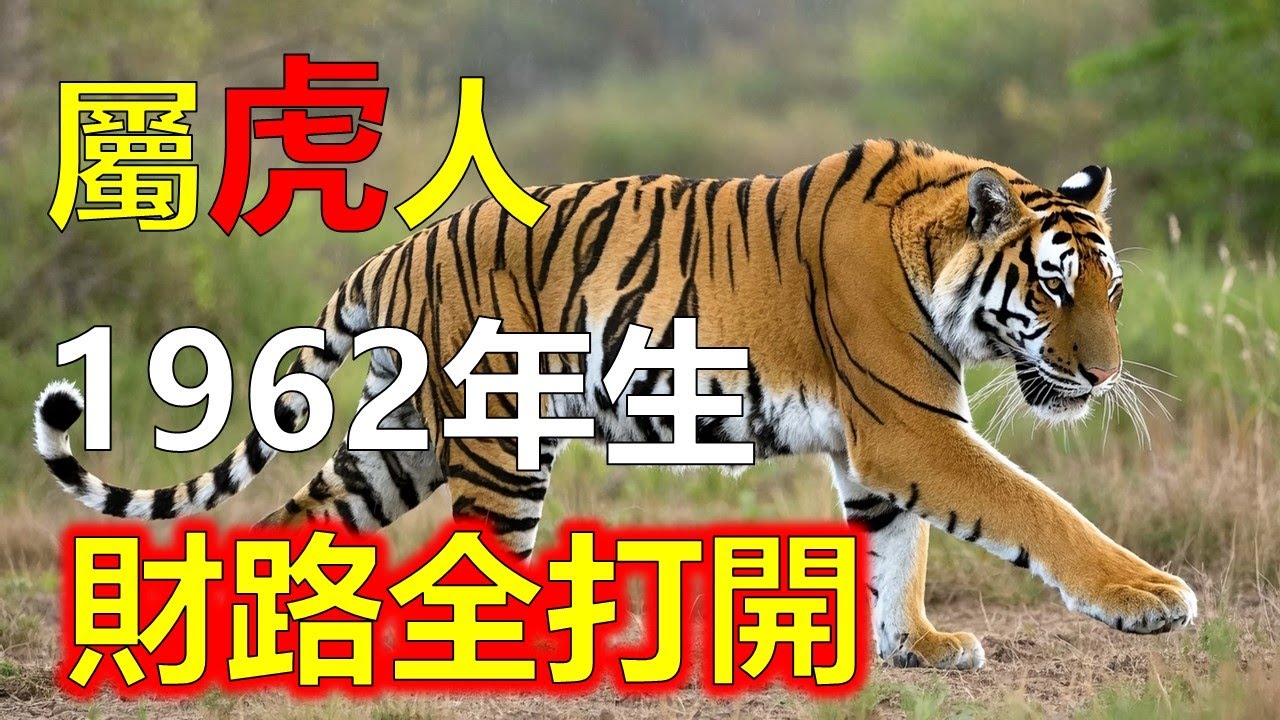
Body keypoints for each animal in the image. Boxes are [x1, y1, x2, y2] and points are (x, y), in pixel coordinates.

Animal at [34, 138, 1197, 670]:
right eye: (1054, 287)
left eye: (1110, 291)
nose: (1103, 377)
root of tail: (399, 249)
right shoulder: (910, 428)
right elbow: (1041, 511)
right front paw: (1147, 597)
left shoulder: (877, 451)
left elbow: (894, 553)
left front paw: (917, 648)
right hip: (497, 446)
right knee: (480, 565)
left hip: (397, 446)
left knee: (296, 521)